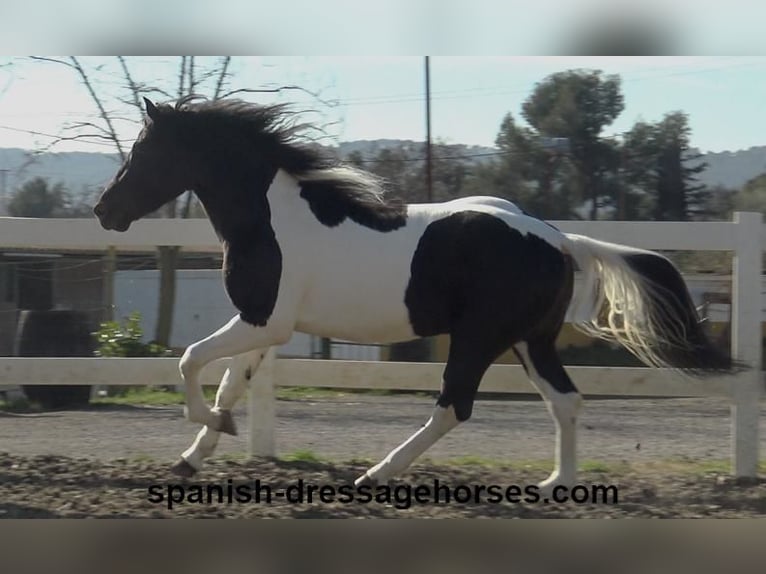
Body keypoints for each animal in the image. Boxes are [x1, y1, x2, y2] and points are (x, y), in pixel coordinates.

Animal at [93, 97, 736, 492]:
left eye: (144, 152)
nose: (104, 211)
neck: (271, 220)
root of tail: (557, 239)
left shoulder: (262, 321)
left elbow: (188, 360)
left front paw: (210, 431)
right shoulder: (262, 327)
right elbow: (229, 383)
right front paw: (193, 455)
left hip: (478, 338)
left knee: (454, 405)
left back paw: (376, 474)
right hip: (530, 341)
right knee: (566, 401)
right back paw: (558, 483)